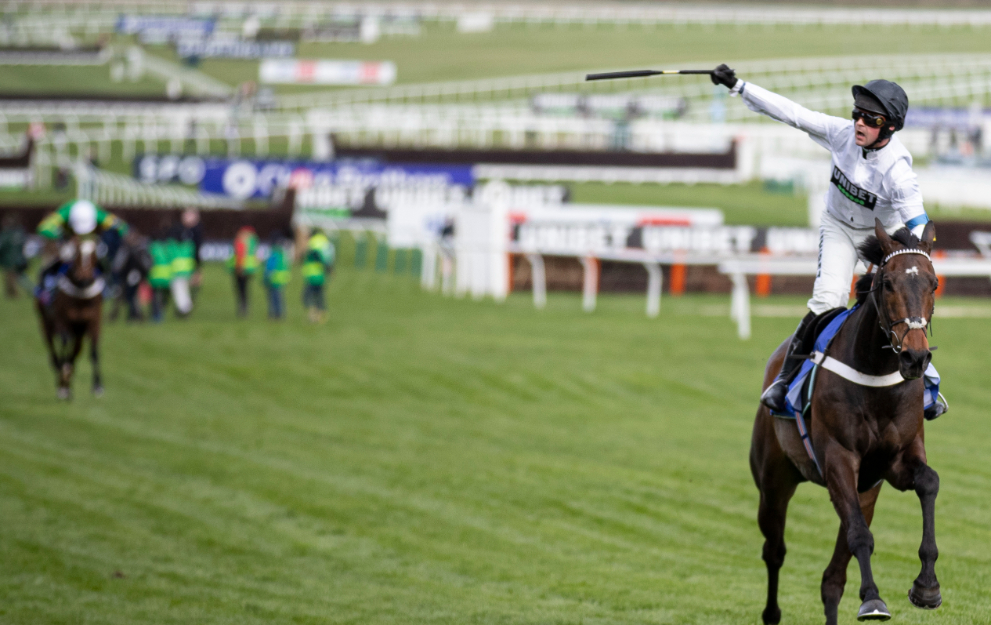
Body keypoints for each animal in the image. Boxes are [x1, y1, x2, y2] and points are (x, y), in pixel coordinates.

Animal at [35, 236, 105, 400]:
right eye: (77, 255)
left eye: (94, 256)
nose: (85, 279)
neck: (81, 297)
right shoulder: (63, 320)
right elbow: (64, 344)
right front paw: (63, 384)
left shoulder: (94, 321)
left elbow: (93, 351)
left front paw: (97, 386)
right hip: (45, 323)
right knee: (53, 350)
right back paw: (61, 378)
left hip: (79, 331)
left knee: (75, 350)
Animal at [750, 219, 941, 625]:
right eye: (888, 284)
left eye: (933, 283)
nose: (915, 357)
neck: (876, 372)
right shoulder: (838, 458)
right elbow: (860, 537)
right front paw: (873, 599)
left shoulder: (894, 462)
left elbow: (929, 482)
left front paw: (927, 587)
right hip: (773, 479)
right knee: (774, 550)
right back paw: (772, 612)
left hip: (865, 491)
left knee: (832, 578)